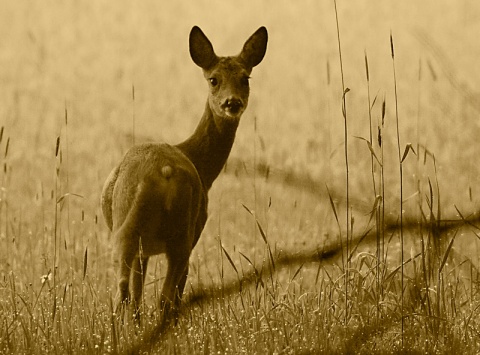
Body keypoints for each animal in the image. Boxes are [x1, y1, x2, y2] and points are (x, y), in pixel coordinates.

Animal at [101, 25, 268, 326]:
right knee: (164, 297)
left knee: (127, 293)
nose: (232, 102)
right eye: (213, 79)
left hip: (131, 230)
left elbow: (138, 292)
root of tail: (160, 173)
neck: (201, 165)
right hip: (182, 233)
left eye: (245, 78)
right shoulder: (195, 231)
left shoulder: (144, 247)